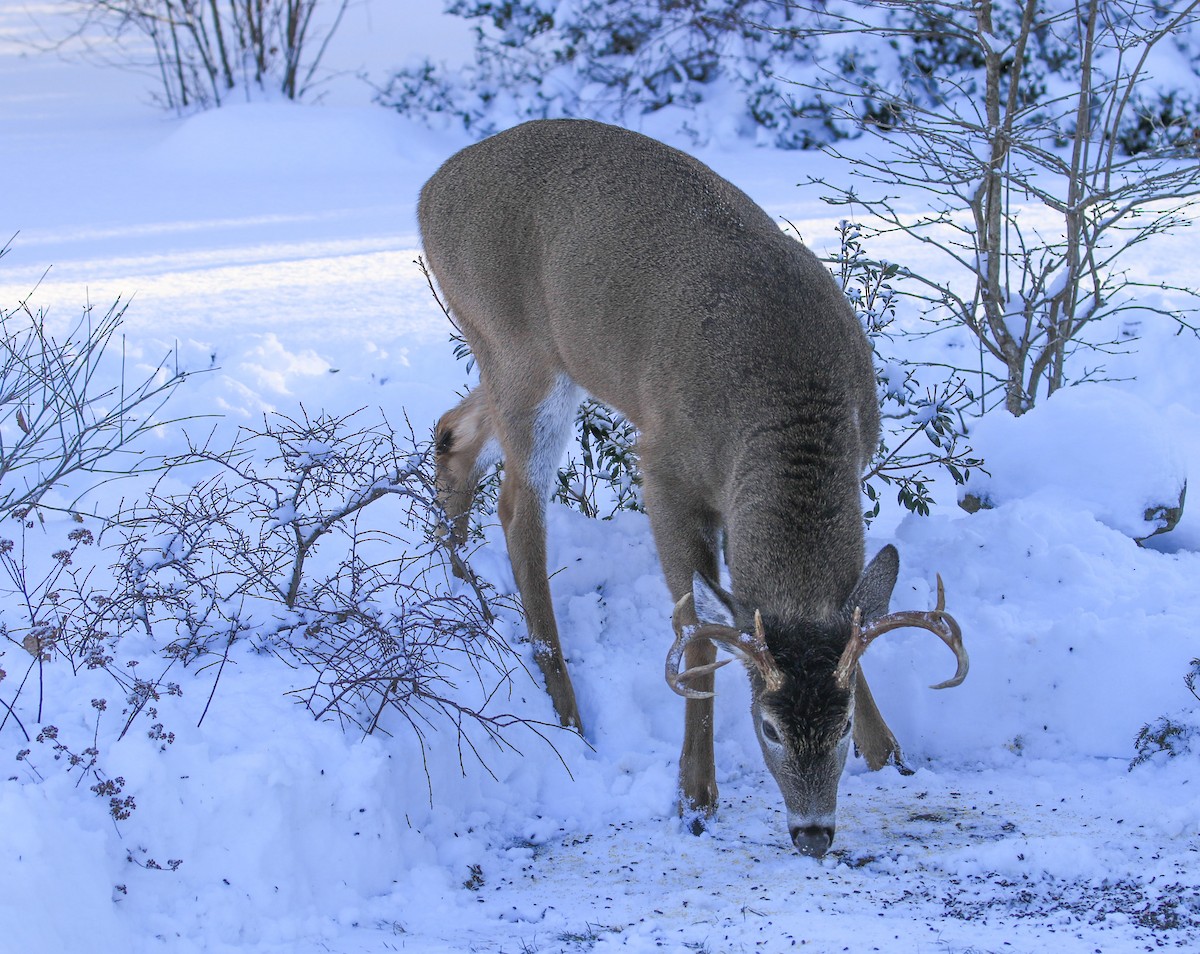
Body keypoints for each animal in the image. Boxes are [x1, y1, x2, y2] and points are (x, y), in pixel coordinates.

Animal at [421, 119, 967, 857]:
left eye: (842, 724)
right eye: (767, 726)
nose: (814, 833)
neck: (786, 406)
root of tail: (430, 190)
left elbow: (848, 616)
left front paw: (890, 753)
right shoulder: (664, 467)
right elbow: (698, 631)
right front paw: (695, 796)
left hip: (521, 353)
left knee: (452, 433)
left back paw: (458, 580)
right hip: (519, 347)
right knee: (516, 506)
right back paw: (566, 709)